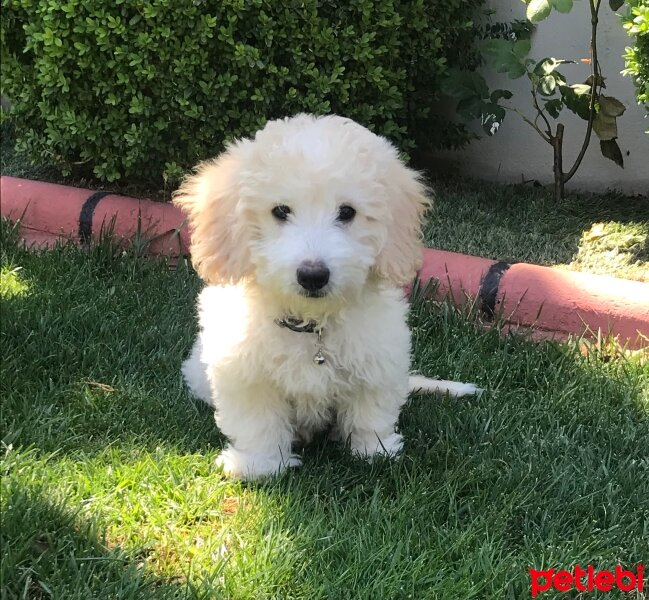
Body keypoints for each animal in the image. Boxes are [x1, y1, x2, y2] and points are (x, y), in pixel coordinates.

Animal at [175, 115, 478, 480]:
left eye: (347, 212)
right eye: (280, 211)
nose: (313, 275)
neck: (312, 323)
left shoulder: (378, 359)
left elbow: (370, 412)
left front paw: (374, 451)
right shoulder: (244, 373)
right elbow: (258, 422)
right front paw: (259, 465)